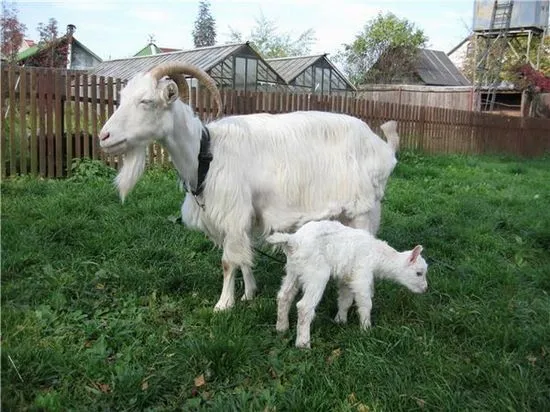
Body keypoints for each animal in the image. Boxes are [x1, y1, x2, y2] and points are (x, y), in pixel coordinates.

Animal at [99, 62, 402, 310]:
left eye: (146, 101)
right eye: (122, 98)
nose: (104, 137)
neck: (205, 153)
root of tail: (384, 148)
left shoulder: (232, 211)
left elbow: (228, 261)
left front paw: (224, 304)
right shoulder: (241, 216)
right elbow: (243, 256)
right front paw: (249, 294)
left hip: (362, 210)